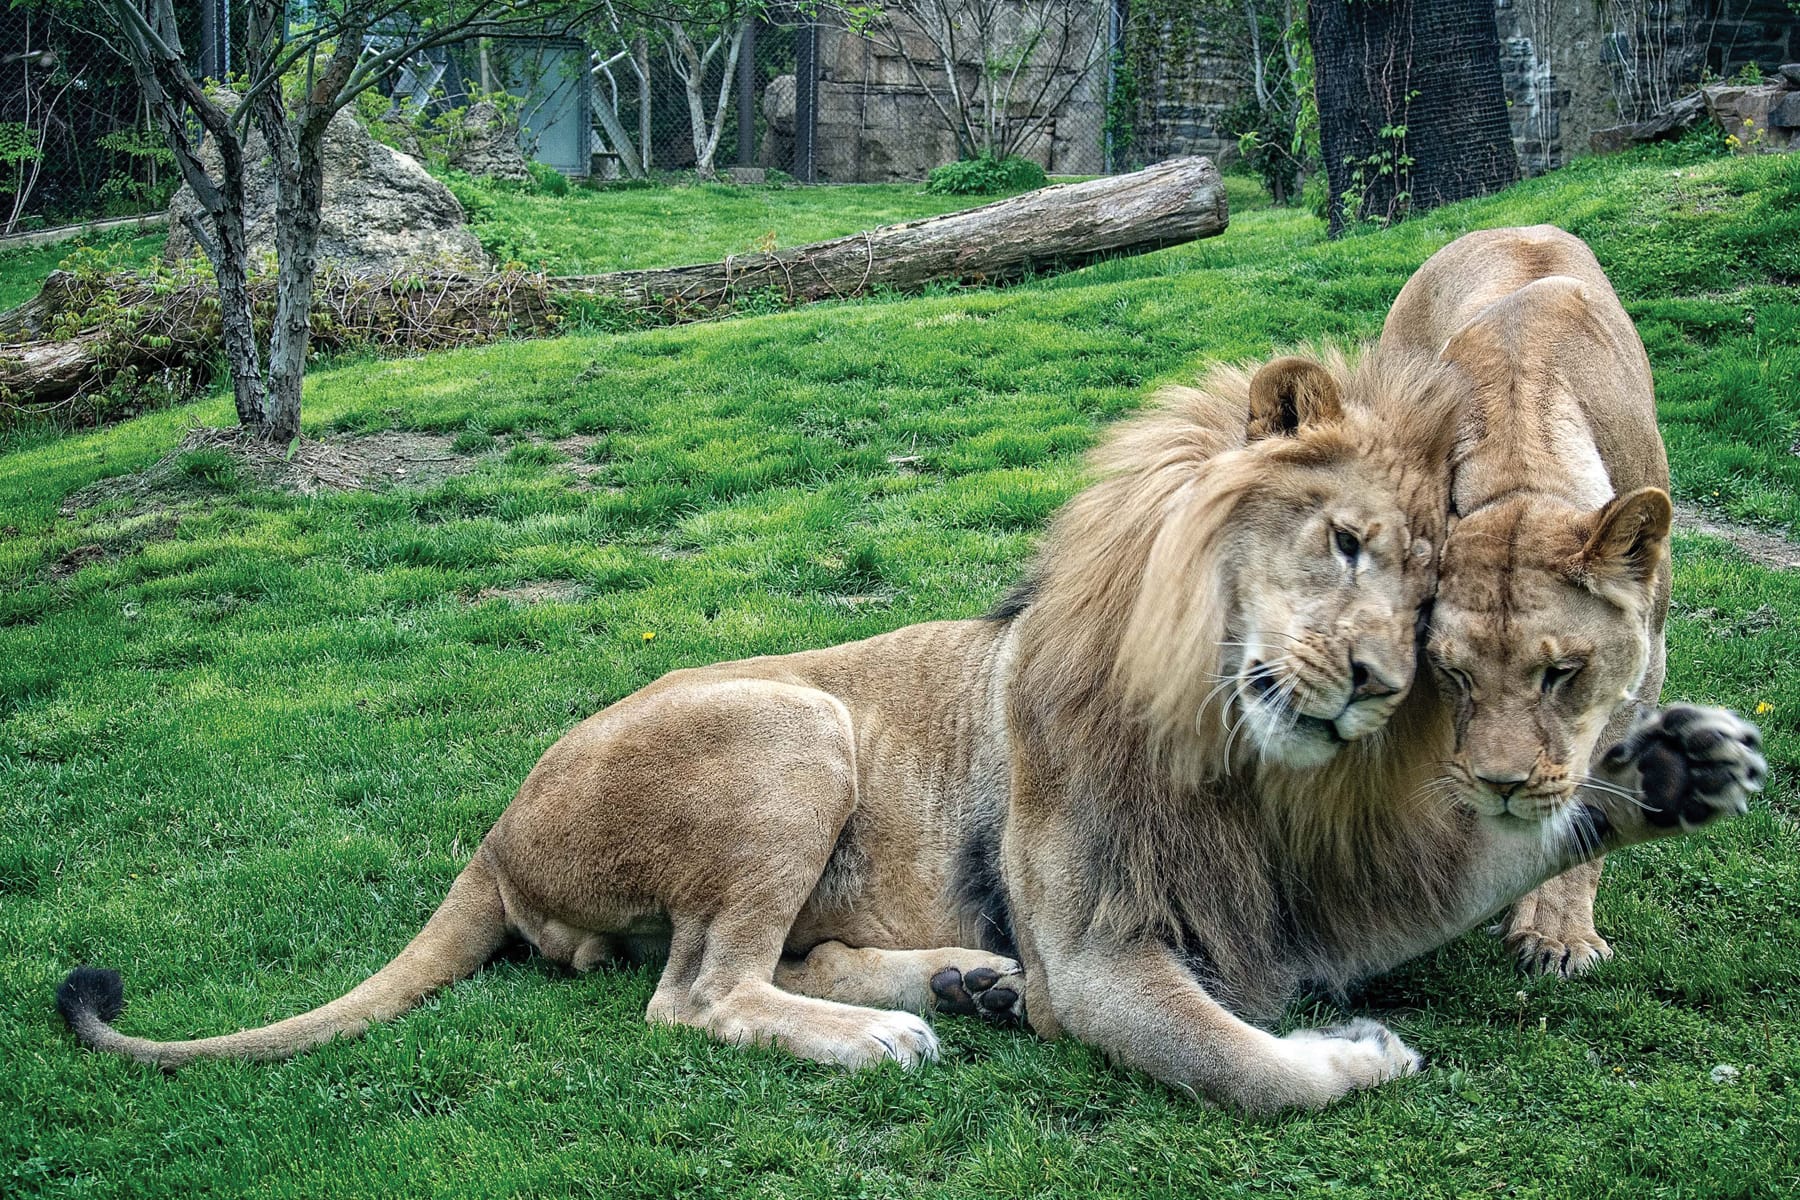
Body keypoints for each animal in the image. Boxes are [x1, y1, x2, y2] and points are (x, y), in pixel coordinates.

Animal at [56, 345, 1764, 1111]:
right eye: (1342, 545)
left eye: (1422, 613)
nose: (1369, 689)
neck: (1217, 735)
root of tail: (493, 834)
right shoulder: (1107, 947)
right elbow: (1242, 1064)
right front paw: (1348, 1050)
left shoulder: (1303, 887)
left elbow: (1472, 857)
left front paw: (1671, 766)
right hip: (794, 725)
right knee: (697, 991)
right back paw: (892, 1027)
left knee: (771, 960)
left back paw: (961, 981)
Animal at [1379, 224, 1692, 976]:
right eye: (1454, 673)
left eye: (1561, 674)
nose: (1503, 786)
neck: (1520, 475)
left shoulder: (1644, 670)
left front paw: (1557, 933)